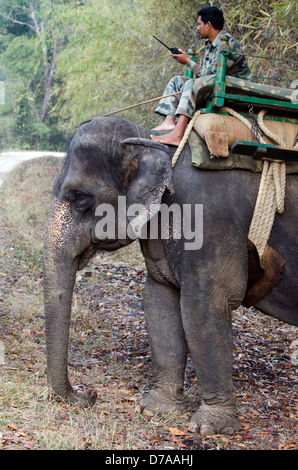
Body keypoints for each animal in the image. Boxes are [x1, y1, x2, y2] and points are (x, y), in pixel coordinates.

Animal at [43, 115, 296, 436]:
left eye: (80, 197)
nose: (90, 394)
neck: (151, 139)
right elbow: (159, 300)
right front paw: (155, 410)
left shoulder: (209, 218)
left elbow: (203, 306)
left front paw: (209, 428)